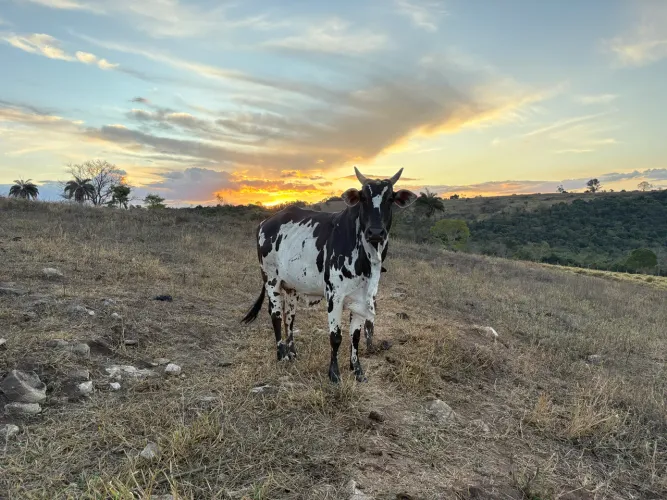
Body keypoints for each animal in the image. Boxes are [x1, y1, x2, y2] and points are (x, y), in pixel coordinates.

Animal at [240, 167, 417, 383]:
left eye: (390, 198)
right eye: (363, 198)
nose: (375, 232)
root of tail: (266, 222)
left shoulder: (361, 298)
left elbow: (355, 336)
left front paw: (357, 370)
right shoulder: (335, 295)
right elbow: (336, 336)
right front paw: (334, 373)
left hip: (291, 287)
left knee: (289, 317)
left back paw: (292, 352)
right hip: (271, 279)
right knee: (275, 315)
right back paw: (282, 355)